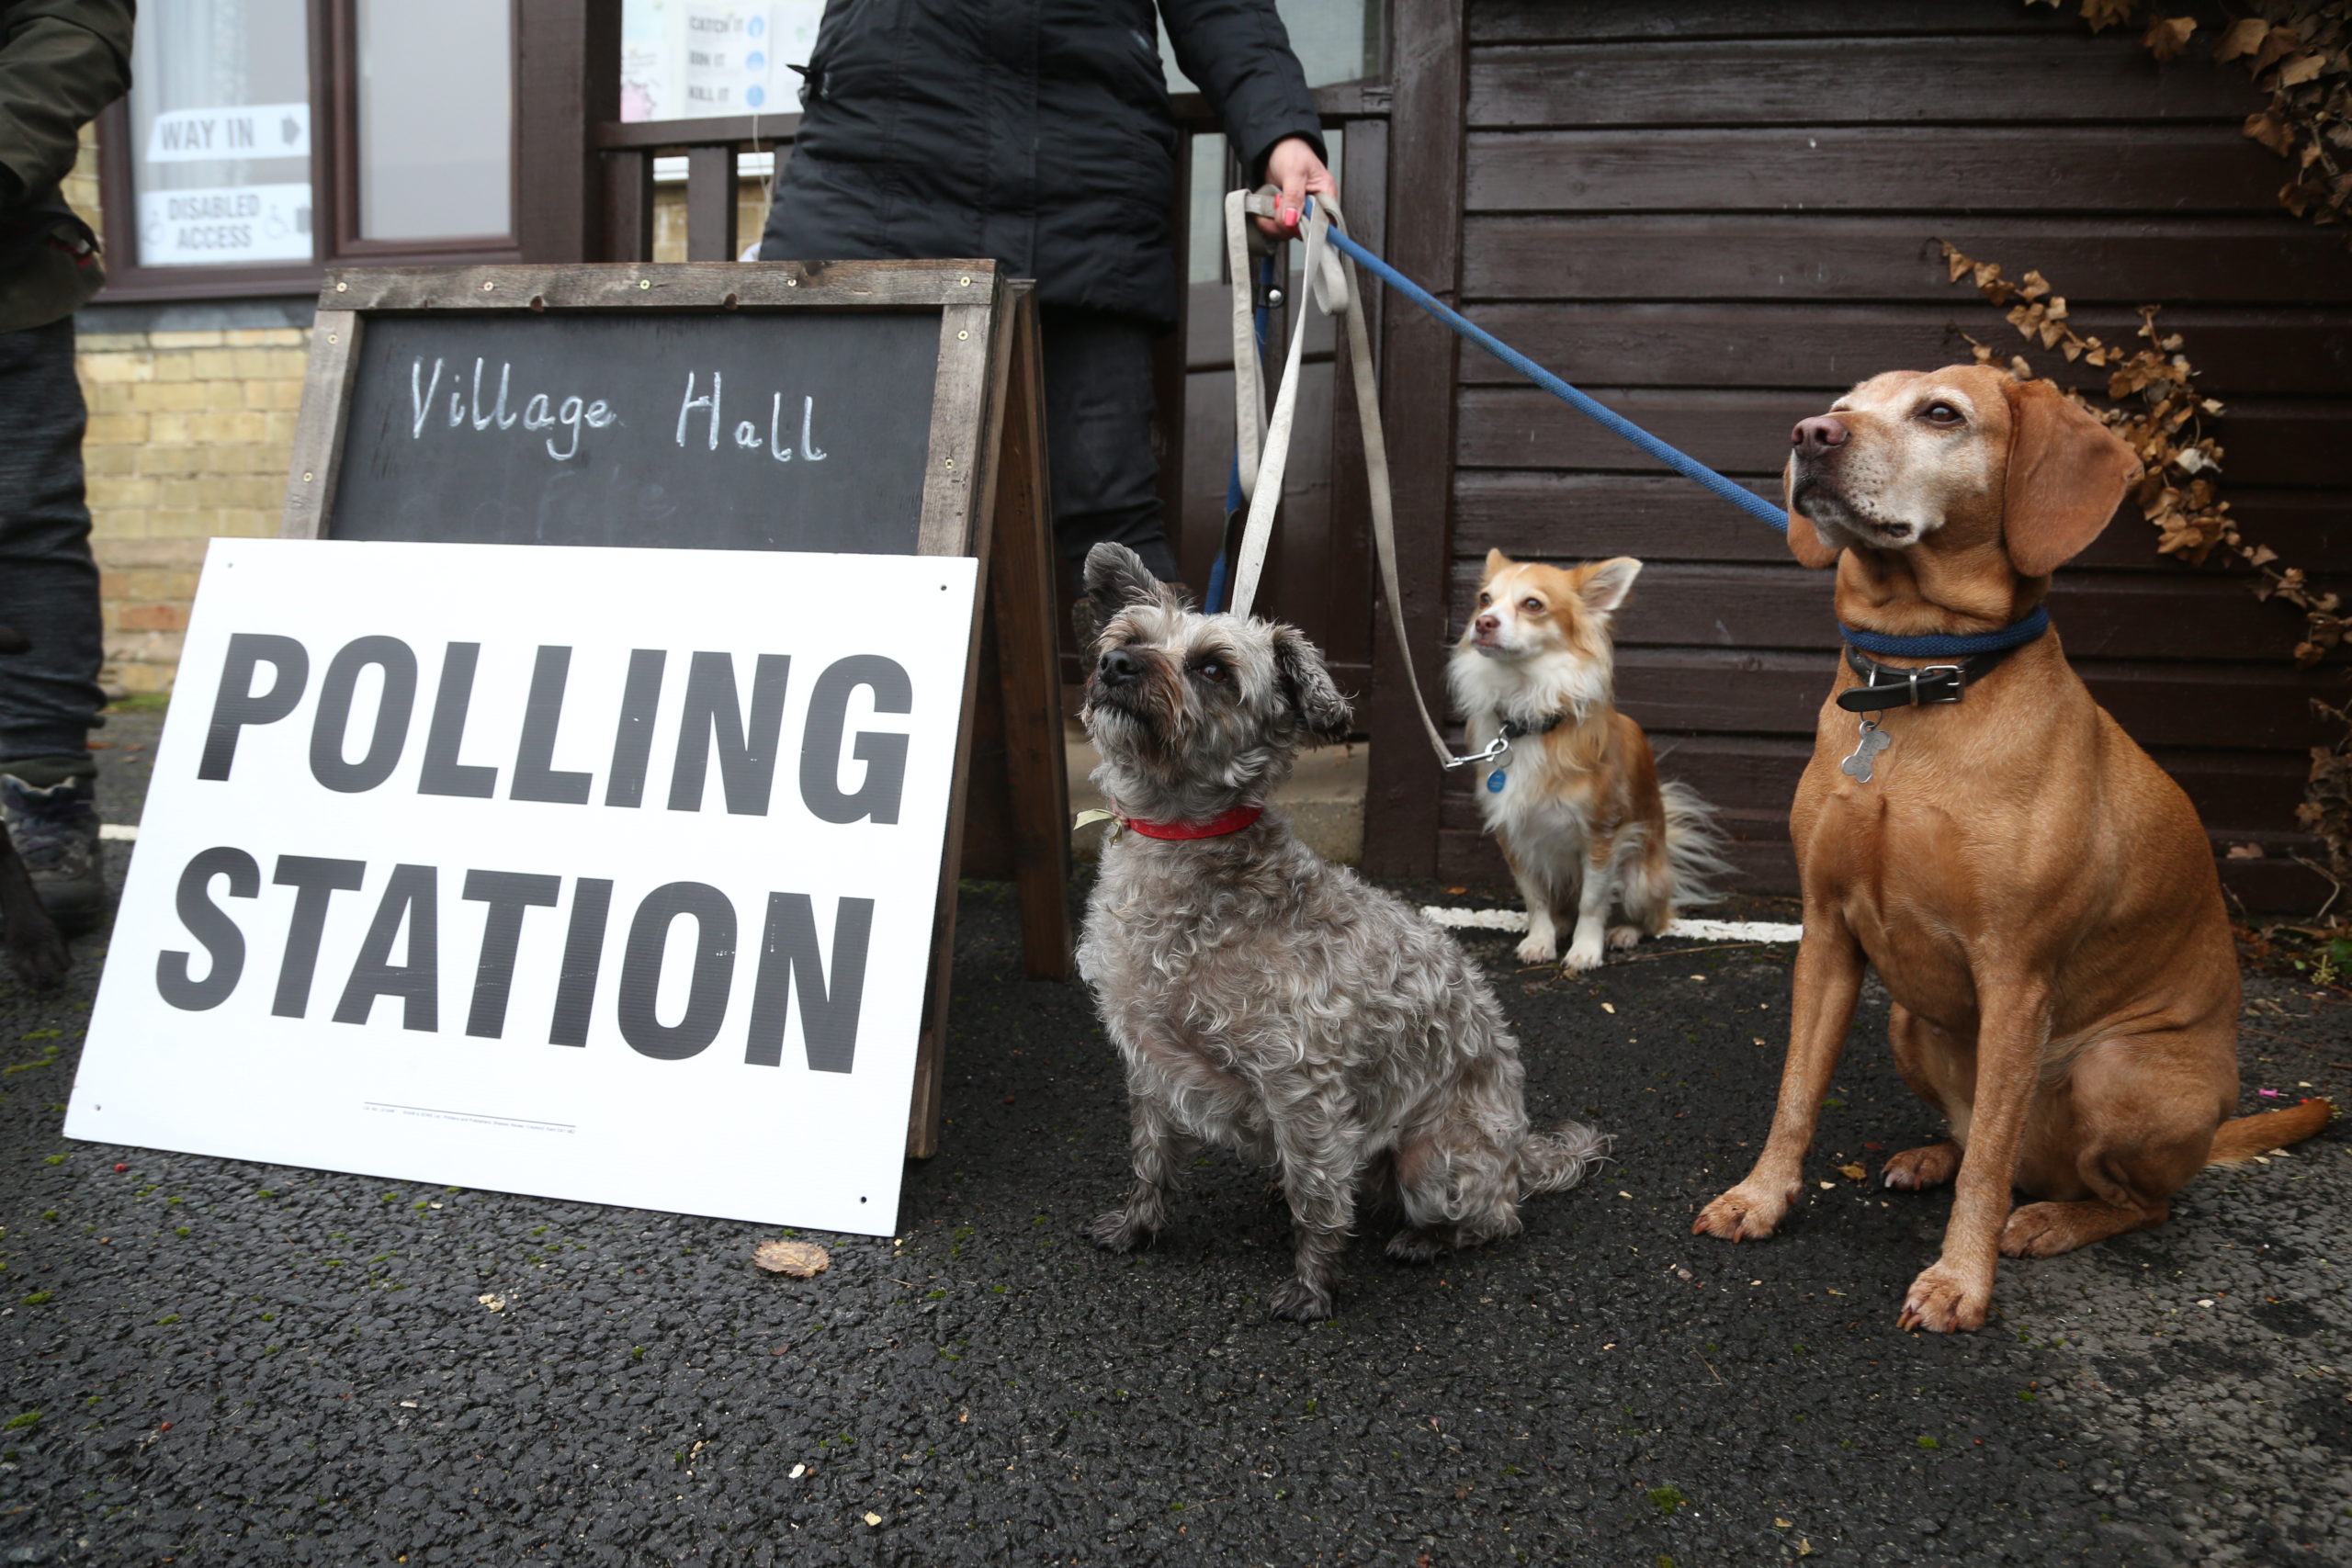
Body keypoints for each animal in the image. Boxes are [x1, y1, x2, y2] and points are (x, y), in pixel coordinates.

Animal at [1077, 545, 1609, 1316]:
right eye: (1131, 639)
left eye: (1213, 668)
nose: (1115, 664)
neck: (1183, 848)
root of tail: (1519, 1151)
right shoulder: (1149, 1063)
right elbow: (1151, 1159)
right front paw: (1137, 1225)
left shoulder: (1302, 1084)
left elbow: (1318, 1198)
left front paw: (1311, 1286)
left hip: (1434, 1163)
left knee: (1493, 1217)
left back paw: (1426, 1238)